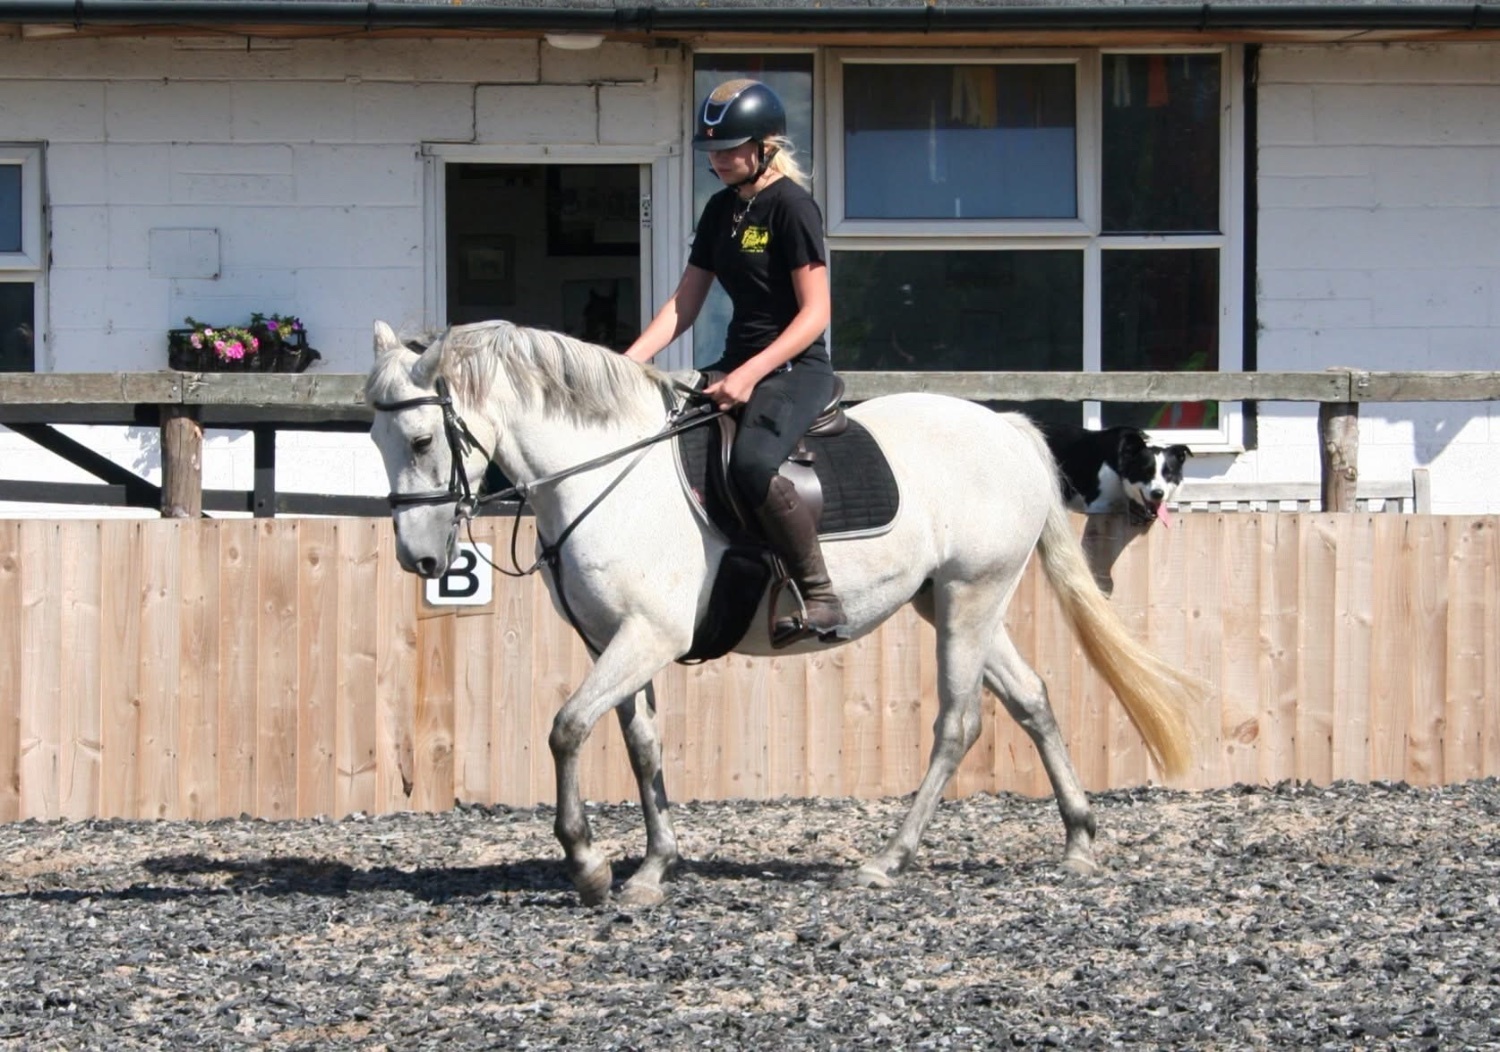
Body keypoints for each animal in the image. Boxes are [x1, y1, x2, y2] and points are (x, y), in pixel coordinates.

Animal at [366, 319, 1202, 907]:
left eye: (421, 437)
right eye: (375, 438)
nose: (420, 559)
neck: (609, 474)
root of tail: (1008, 429)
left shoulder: (647, 638)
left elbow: (567, 727)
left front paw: (589, 863)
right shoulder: (616, 642)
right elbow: (641, 748)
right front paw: (653, 868)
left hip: (972, 594)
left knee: (958, 723)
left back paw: (889, 859)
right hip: (951, 601)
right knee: (1031, 700)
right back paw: (1079, 839)